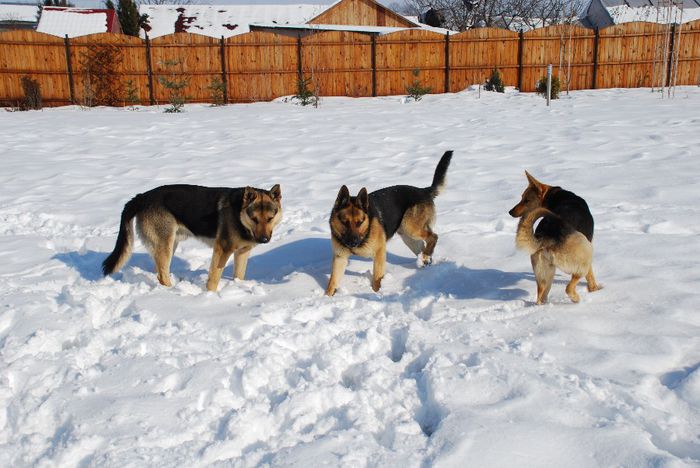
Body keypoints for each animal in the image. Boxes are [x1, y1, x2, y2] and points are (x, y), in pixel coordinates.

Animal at [102, 184, 282, 290]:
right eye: (254, 218)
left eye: (270, 218)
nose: (264, 240)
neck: (239, 214)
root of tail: (142, 196)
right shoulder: (221, 250)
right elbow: (213, 280)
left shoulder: (242, 252)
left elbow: (239, 275)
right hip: (165, 244)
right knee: (162, 275)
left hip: (169, 244)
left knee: (159, 271)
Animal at [324, 151, 452, 296]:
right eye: (344, 222)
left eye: (360, 222)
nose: (353, 242)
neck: (364, 233)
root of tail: (423, 190)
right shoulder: (340, 258)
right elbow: (332, 283)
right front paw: (327, 298)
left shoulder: (379, 252)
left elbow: (377, 279)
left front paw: (377, 293)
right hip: (409, 238)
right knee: (423, 247)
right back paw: (424, 261)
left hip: (411, 229)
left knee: (434, 236)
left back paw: (426, 256)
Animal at [508, 172, 600, 304]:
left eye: (526, 200)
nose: (510, 212)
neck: (555, 195)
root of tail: (545, 238)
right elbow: (590, 276)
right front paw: (595, 289)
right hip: (586, 251)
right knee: (569, 287)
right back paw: (577, 300)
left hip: (544, 275)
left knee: (540, 298)